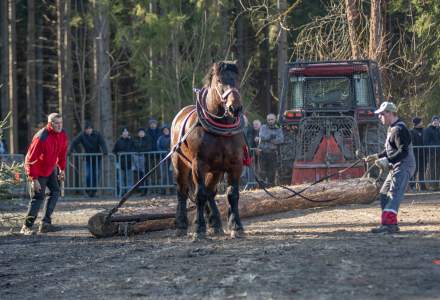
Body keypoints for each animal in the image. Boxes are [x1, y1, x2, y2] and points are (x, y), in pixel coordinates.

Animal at [170, 62, 246, 240]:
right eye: (219, 81)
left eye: (237, 79)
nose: (235, 108)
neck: (222, 131)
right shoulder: (199, 165)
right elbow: (200, 195)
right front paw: (199, 228)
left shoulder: (235, 165)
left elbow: (232, 194)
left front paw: (236, 227)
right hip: (180, 165)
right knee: (182, 191)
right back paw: (182, 225)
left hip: (216, 170)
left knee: (211, 192)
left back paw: (215, 224)